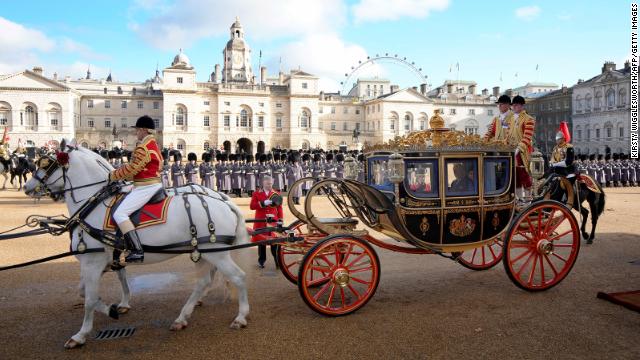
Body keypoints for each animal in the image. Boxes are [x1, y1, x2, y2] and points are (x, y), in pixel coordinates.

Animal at [22, 141, 249, 348]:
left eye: (46, 164)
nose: (27, 187)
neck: (93, 205)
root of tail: (224, 201)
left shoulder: (93, 262)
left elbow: (89, 299)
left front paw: (81, 334)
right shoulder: (102, 261)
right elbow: (88, 291)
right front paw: (115, 308)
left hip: (216, 252)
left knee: (238, 277)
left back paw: (240, 317)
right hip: (202, 251)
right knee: (203, 282)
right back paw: (182, 318)